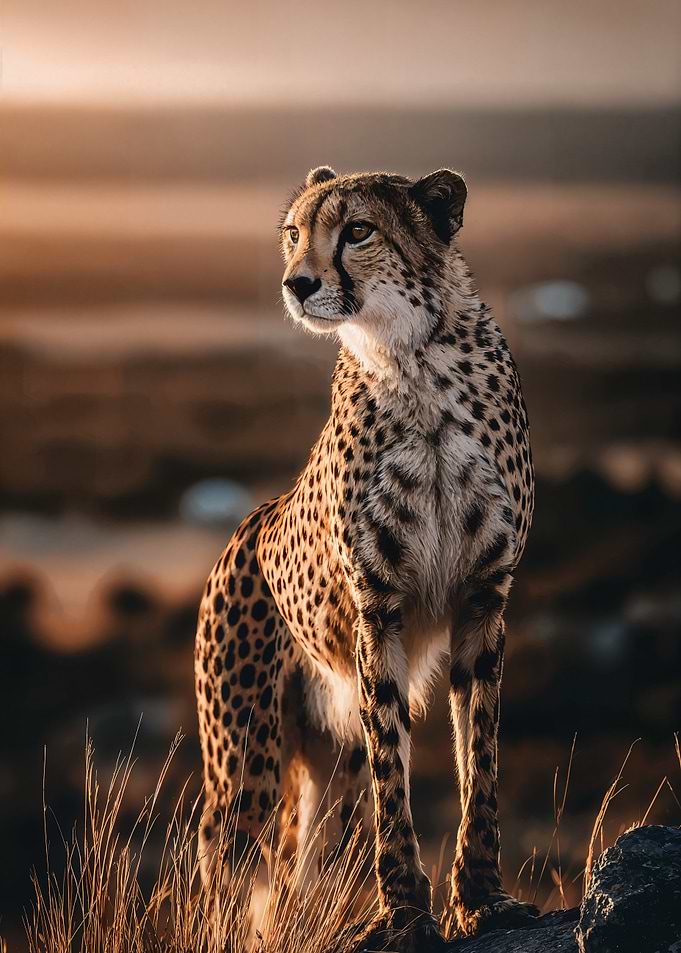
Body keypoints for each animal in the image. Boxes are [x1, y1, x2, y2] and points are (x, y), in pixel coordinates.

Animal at [195, 165, 539, 950]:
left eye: (357, 231)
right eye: (294, 233)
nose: (296, 283)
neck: (414, 363)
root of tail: (246, 527)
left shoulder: (485, 594)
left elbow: (481, 759)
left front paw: (481, 897)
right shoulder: (376, 607)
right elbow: (393, 778)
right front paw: (405, 913)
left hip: (324, 750)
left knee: (299, 868)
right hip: (247, 756)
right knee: (226, 856)